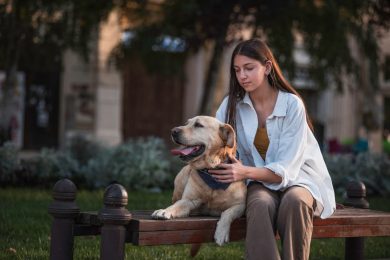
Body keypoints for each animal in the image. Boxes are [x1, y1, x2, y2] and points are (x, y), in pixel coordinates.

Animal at [151, 116, 245, 246]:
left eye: (198, 125)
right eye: (187, 123)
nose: (173, 131)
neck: (211, 170)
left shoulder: (240, 205)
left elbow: (227, 213)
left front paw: (221, 233)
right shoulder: (188, 200)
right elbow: (176, 205)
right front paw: (164, 211)